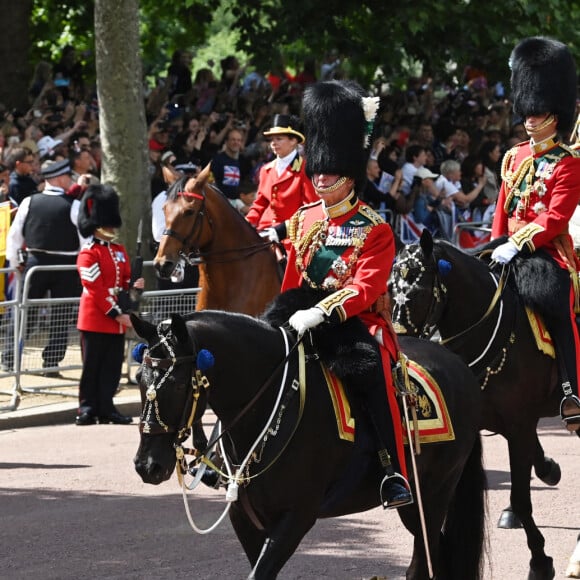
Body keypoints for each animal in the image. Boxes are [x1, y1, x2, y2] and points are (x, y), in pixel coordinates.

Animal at [131, 312, 484, 580]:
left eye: (178, 384)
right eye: (139, 380)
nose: (148, 465)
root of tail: (459, 365)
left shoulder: (297, 516)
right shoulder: (245, 518)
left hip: (430, 497)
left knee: (423, 563)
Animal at [388, 230, 568, 580]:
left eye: (418, 290)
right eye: (390, 289)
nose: (400, 345)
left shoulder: (518, 424)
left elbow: (521, 497)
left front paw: (540, 561)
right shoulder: (500, 424)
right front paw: (549, 468)